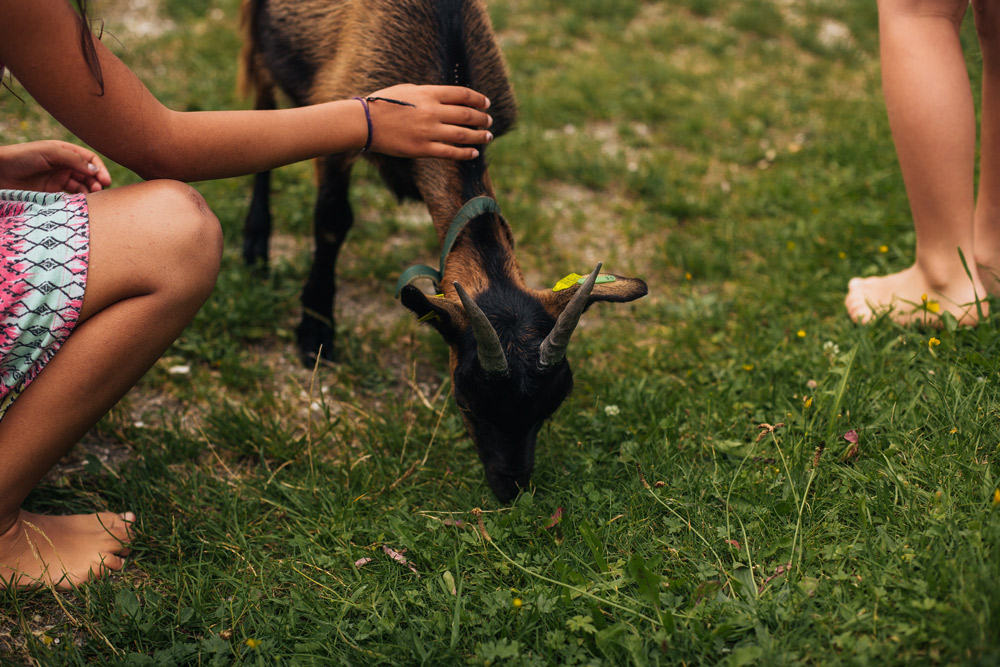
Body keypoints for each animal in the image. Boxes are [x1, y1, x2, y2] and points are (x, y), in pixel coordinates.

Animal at [240, 0, 648, 500]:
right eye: (465, 399)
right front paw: (315, 331)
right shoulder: (338, 118)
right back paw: (256, 244)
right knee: (261, 107)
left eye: (554, 403)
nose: (511, 487)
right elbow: (332, 221)